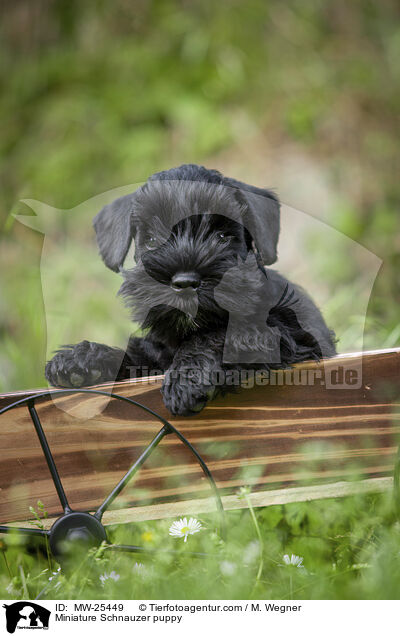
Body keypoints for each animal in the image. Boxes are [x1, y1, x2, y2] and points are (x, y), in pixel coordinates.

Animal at [45, 163, 336, 418]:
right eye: (151, 238)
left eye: (222, 236)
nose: (185, 283)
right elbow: (138, 355)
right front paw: (82, 359)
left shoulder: (287, 335)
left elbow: (219, 335)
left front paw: (185, 378)